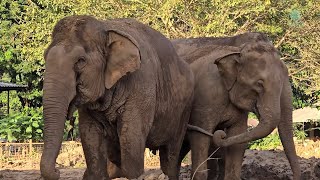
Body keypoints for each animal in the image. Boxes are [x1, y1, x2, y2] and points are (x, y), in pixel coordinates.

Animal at [40, 14, 195, 179]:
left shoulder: (142, 85)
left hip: (184, 110)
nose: (58, 170)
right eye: (45, 56)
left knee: (171, 154)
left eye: (80, 61)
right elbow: (89, 134)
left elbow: (130, 134)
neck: (105, 27)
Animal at [172, 33, 300, 179]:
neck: (236, 50)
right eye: (259, 84)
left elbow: (237, 137)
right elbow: (201, 136)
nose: (221, 135)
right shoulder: (205, 96)